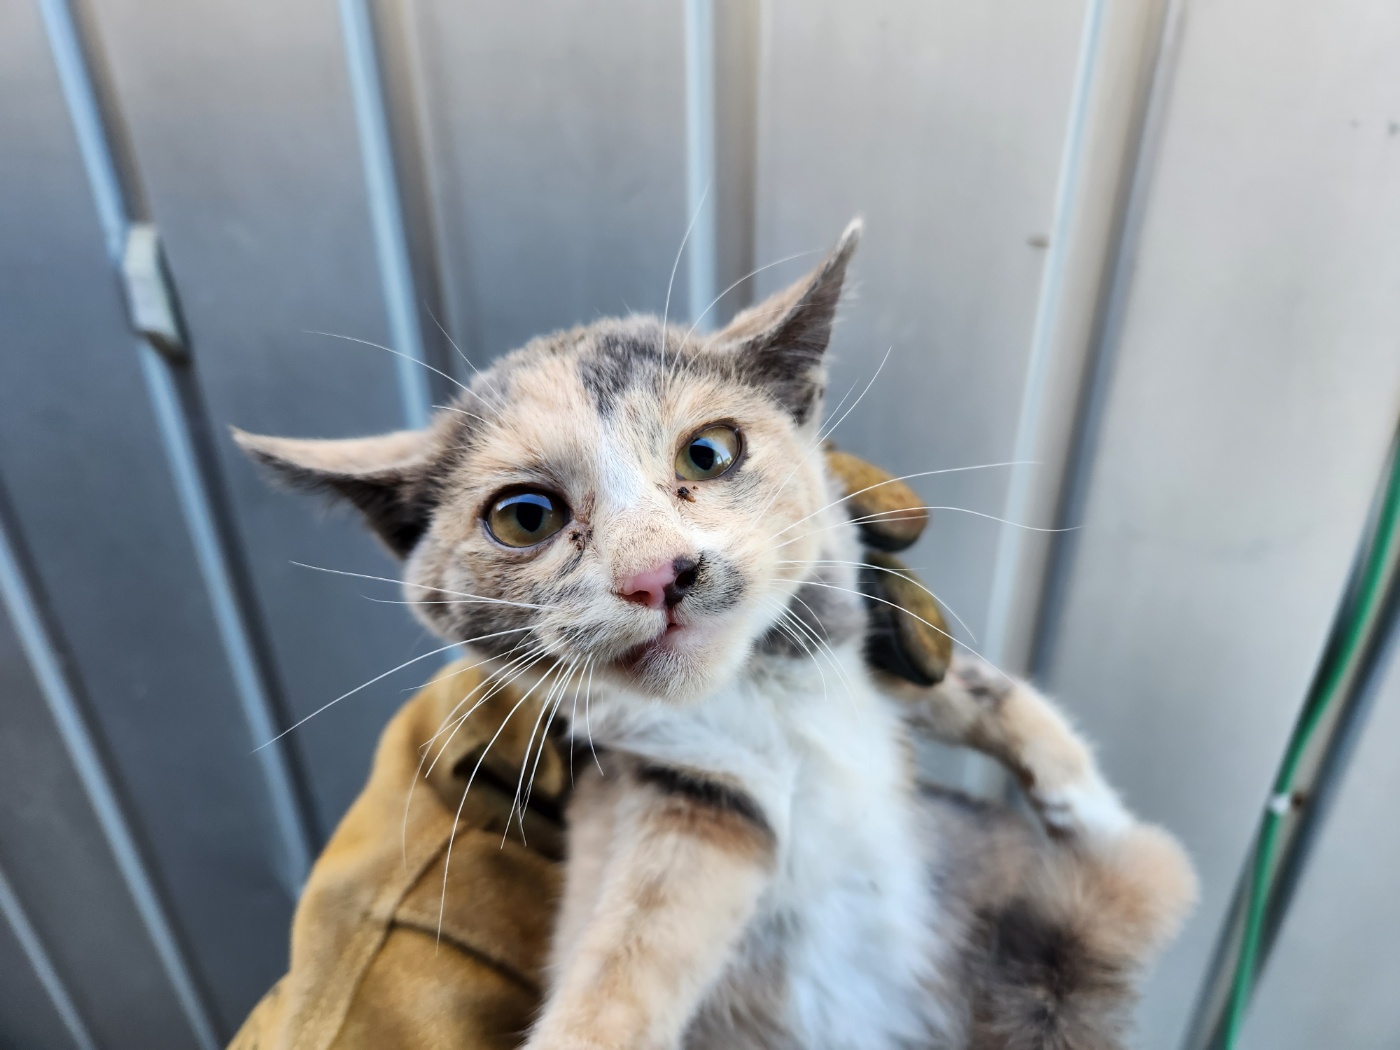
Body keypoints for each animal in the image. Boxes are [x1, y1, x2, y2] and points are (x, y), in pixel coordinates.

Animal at [238, 218, 1192, 1047]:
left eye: (709, 452)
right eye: (524, 517)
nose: (658, 572)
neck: (755, 689)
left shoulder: (867, 632)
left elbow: (984, 689)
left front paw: (1088, 804)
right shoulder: (690, 791)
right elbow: (635, 946)